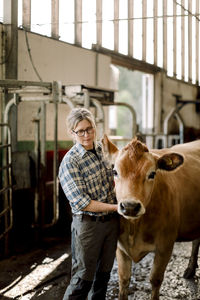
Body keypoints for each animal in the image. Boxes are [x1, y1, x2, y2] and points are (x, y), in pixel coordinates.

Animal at [102, 135, 200, 300]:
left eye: (152, 174)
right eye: (114, 172)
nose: (129, 206)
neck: (135, 227)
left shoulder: (165, 246)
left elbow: (155, 279)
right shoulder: (120, 246)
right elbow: (124, 280)